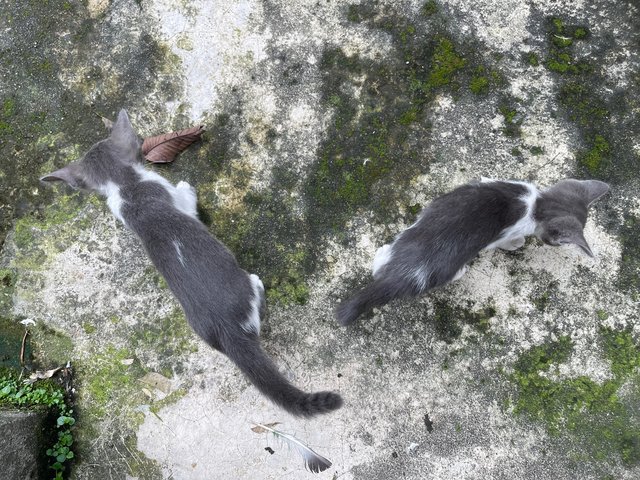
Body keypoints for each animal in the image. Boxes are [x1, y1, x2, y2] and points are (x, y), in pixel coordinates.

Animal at [40, 110, 342, 418]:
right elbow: (187, 201)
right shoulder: (168, 193)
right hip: (245, 287)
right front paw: (188, 187)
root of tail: (226, 326)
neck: (126, 184)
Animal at [336, 177, 608, 326]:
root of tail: (405, 271)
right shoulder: (500, 234)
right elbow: (502, 241)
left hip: (408, 234)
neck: (536, 205)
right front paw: (514, 243)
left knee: (381, 263)